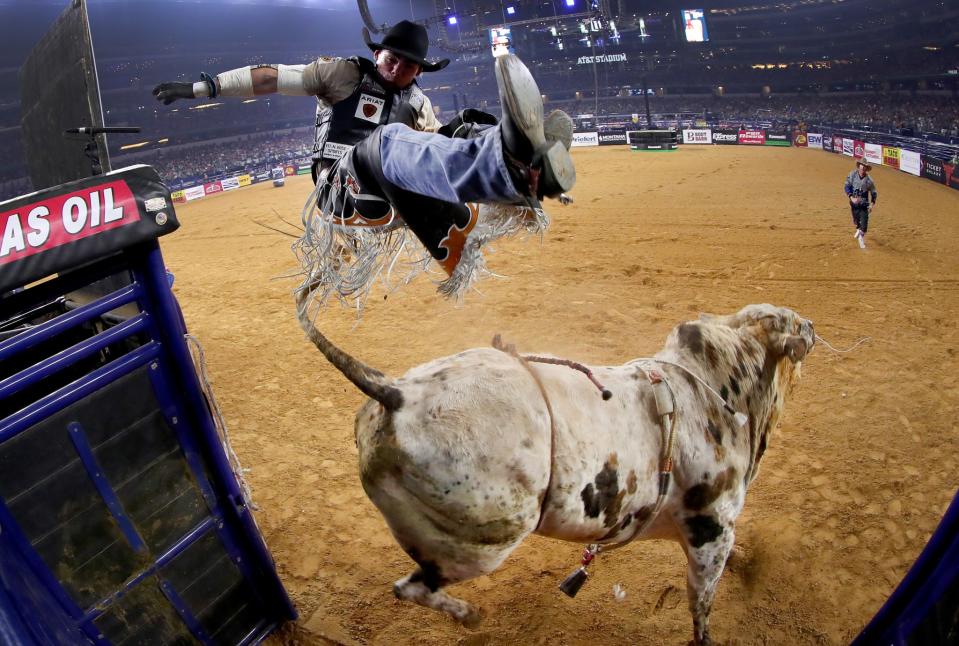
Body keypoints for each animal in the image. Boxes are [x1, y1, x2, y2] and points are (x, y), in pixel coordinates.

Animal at [296, 302, 812, 644]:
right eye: (787, 320)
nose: (810, 325)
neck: (711, 390)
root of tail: (398, 394)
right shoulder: (710, 531)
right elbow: (702, 602)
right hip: (481, 543)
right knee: (412, 587)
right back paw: (470, 616)